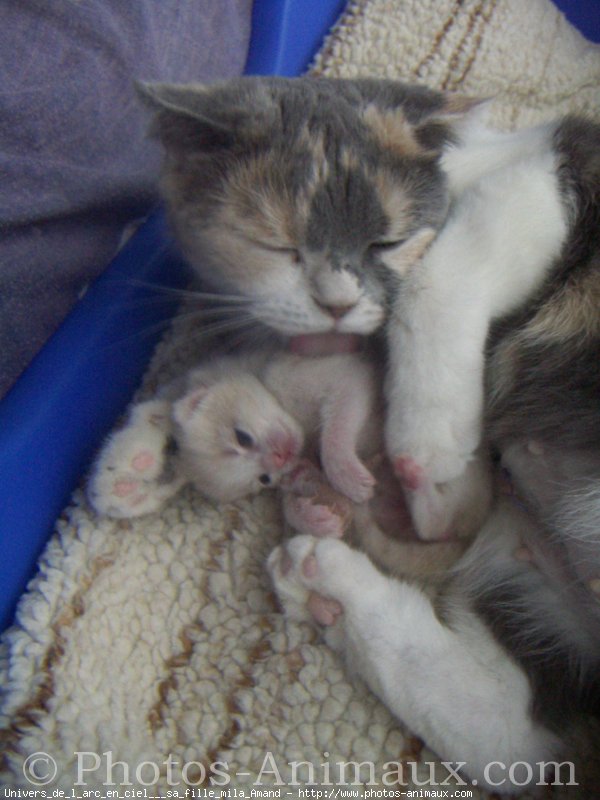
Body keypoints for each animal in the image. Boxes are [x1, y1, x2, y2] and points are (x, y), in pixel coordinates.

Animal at [138, 76, 600, 792]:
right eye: (277, 247)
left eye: (384, 243)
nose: (335, 302)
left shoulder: (562, 165)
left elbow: (440, 270)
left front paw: (429, 444)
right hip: (529, 581)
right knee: (515, 741)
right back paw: (330, 584)